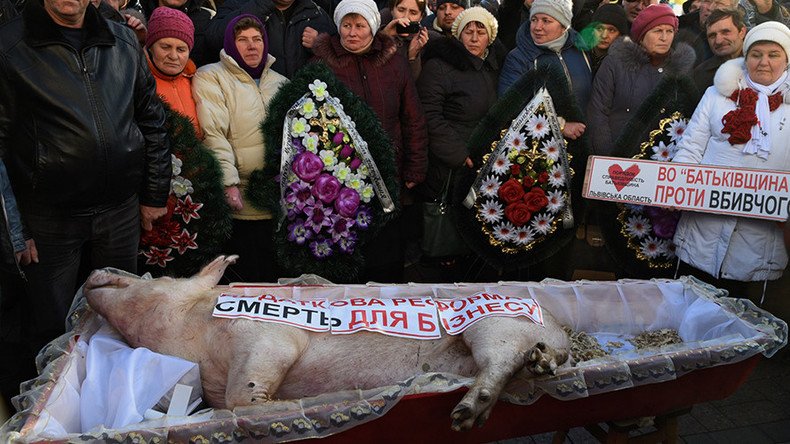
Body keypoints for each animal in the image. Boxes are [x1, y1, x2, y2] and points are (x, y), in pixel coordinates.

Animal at [85, 255, 568, 432]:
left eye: (155, 278)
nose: (92, 272)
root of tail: (563, 335)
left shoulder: (268, 336)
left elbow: (245, 396)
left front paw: (278, 409)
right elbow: (231, 401)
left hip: (495, 325)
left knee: (499, 362)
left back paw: (465, 415)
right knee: (521, 363)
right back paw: (539, 367)